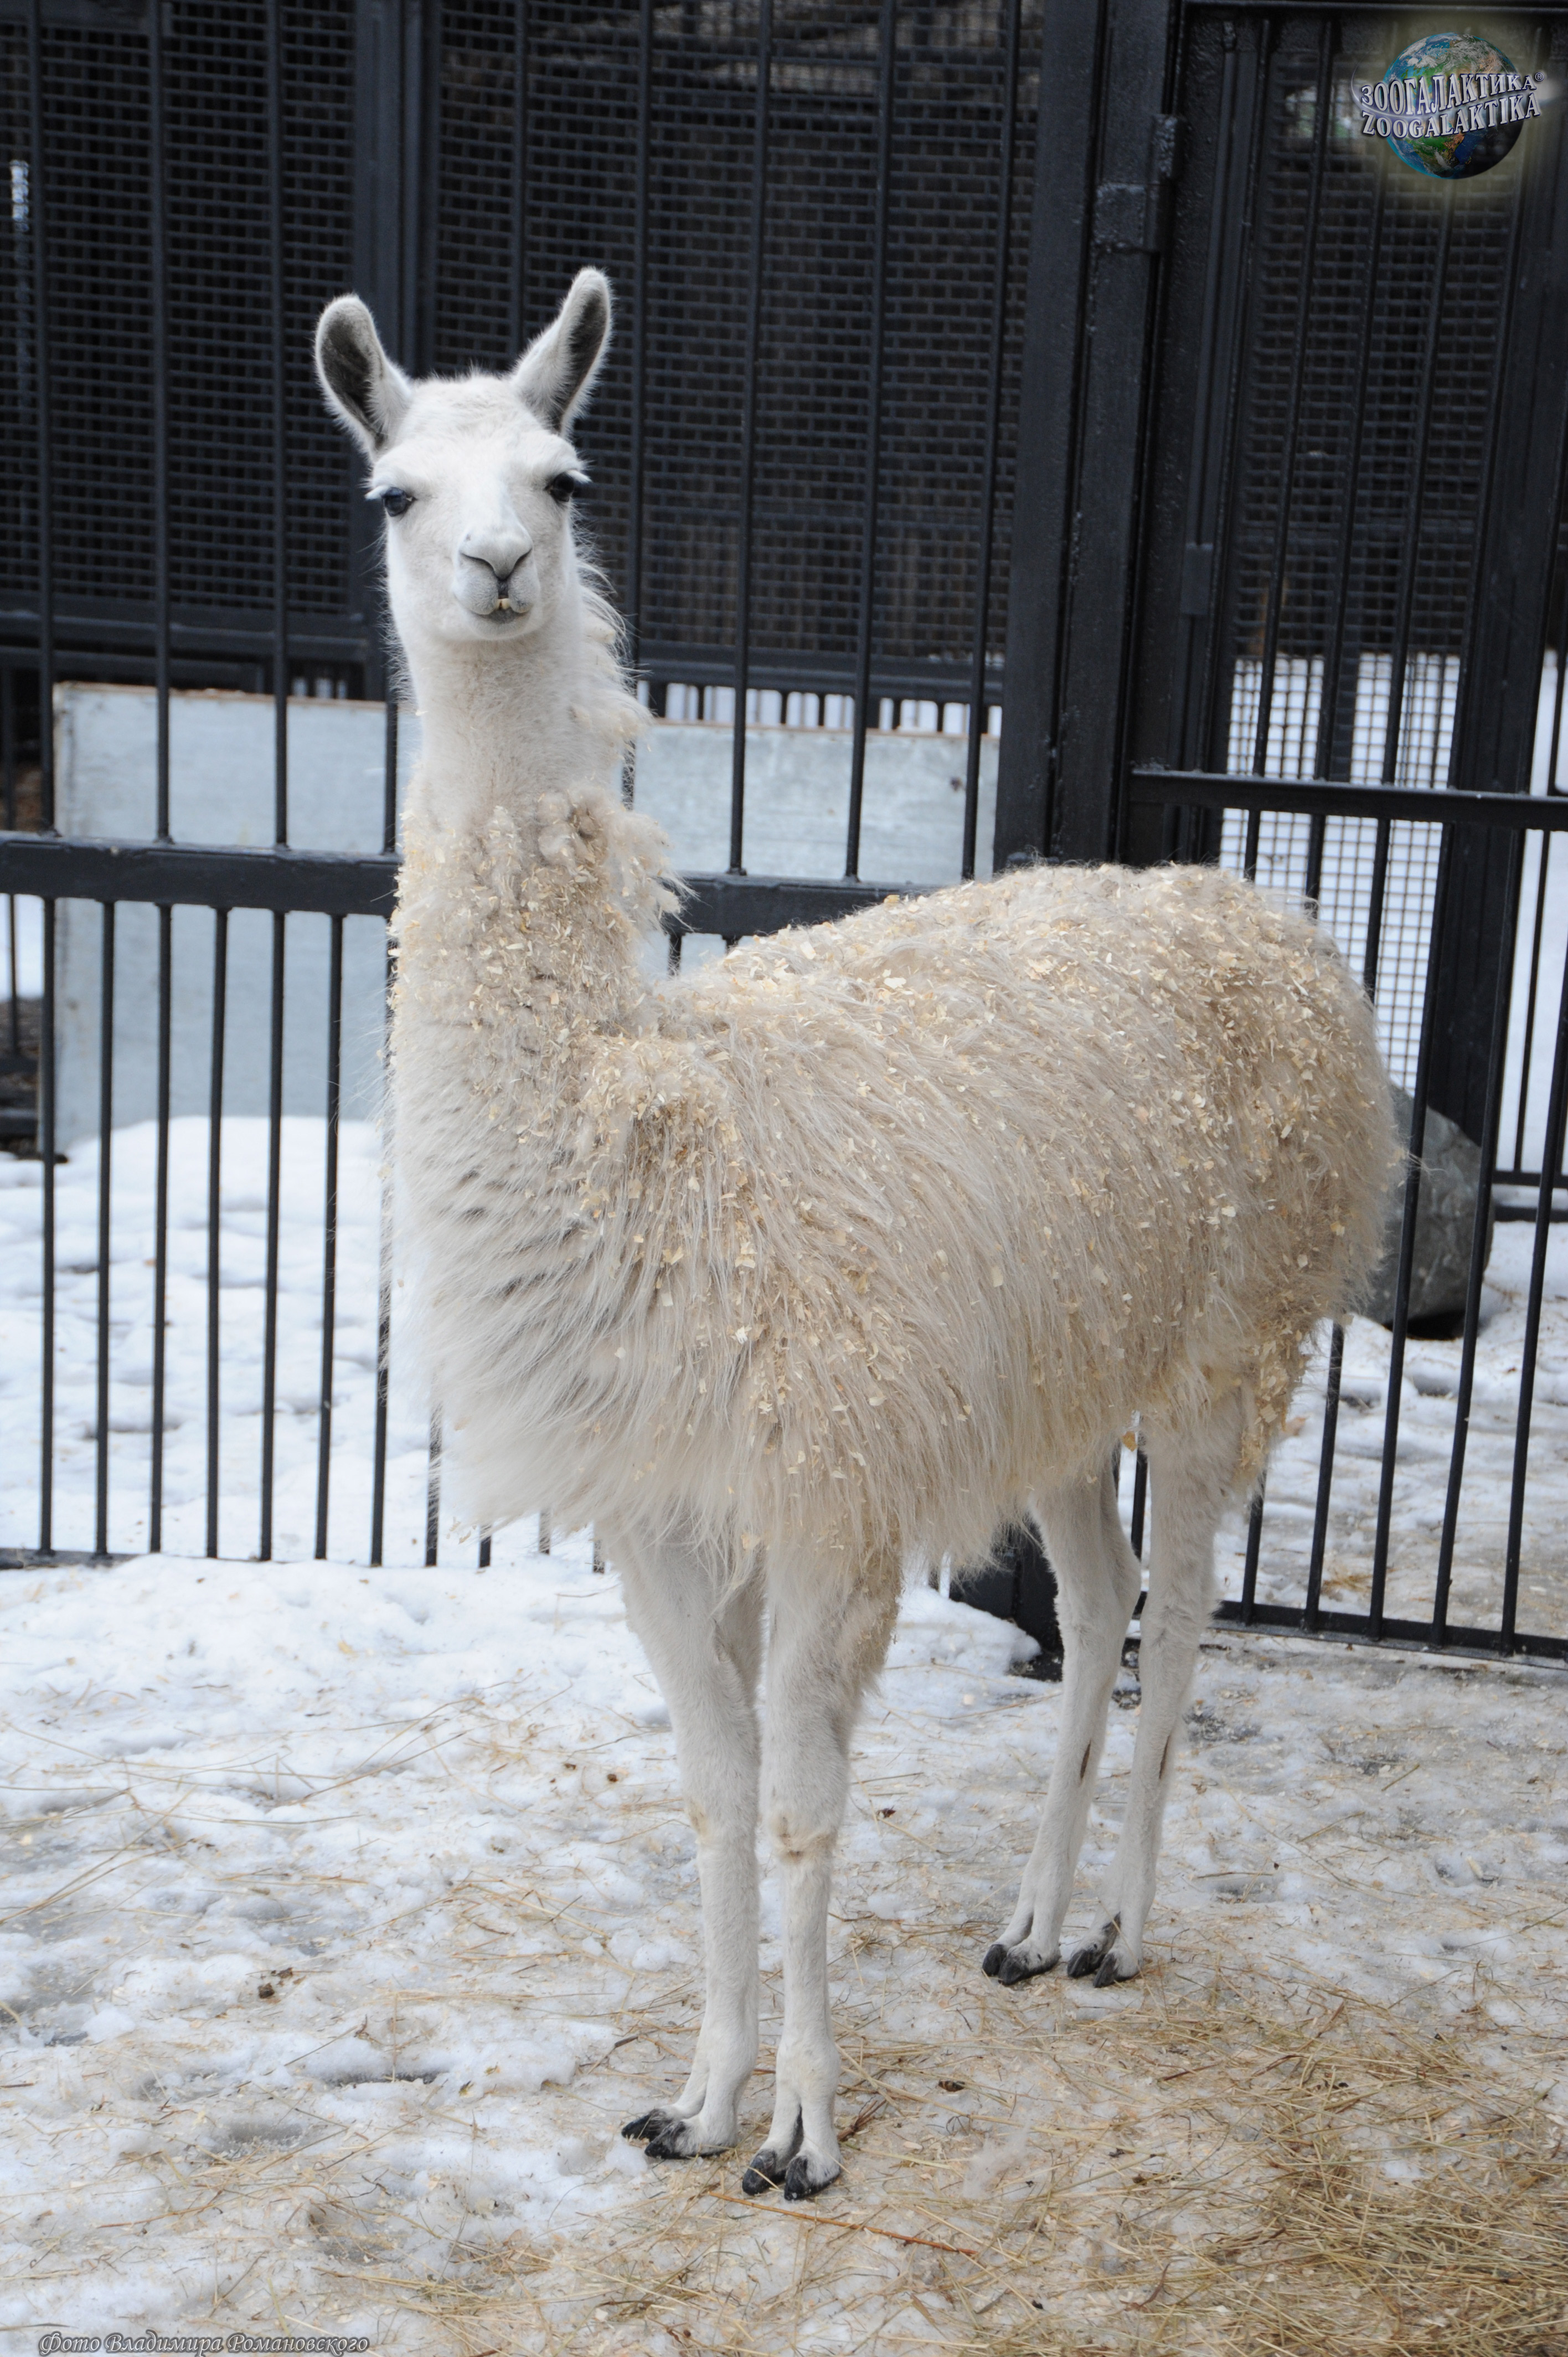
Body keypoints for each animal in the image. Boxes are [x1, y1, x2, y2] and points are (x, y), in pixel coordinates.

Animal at [315, 268, 1396, 2202]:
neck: (654, 1132)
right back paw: (1027, 1923)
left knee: (1186, 1604)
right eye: (396, 492)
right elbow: (718, 1797)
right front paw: (696, 2097)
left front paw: (805, 2132)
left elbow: (810, 1812)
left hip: (1229, 1338)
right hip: (1053, 1379)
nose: (499, 569)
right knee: (1098, 1596)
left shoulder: (826, 1493)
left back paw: (1118, 1931)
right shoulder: (669, 1512)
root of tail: (1269, 913)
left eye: (563, 476)